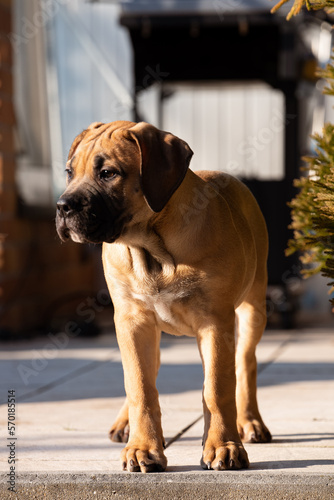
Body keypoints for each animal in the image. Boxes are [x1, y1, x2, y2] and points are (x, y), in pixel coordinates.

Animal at [56, 120, 272, 472]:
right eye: (69, 172)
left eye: (108, 174)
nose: (62, 207)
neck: (152, 248)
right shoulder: (132, 322)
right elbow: (140, 387)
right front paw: (143, 448)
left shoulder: (215, 321)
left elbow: (216, 388)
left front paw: (223, 446)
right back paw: (125, 423)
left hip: (252, 309)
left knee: (245, 362)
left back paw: (250, 422)